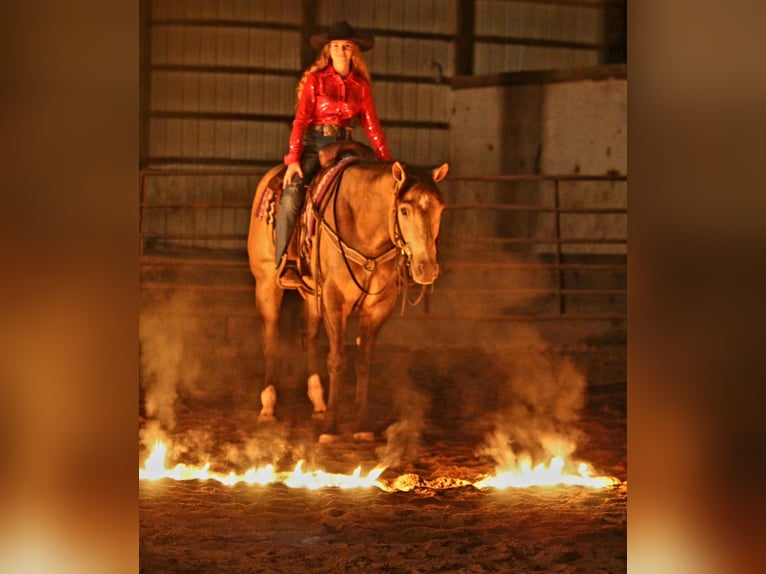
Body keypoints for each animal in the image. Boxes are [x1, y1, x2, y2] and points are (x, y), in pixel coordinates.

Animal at [247, 142, 448, 442]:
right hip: (267, 284)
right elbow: (337, 360)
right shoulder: (334, 300)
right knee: (270, 338)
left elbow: (363, 362)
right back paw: (268, 407)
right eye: (404, 210)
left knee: (308, 335)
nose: (426, 268)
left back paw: (318, 403)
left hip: (312, 294)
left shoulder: (377, 307)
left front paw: (361, 426)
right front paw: (331, 430)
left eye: (440, 209)